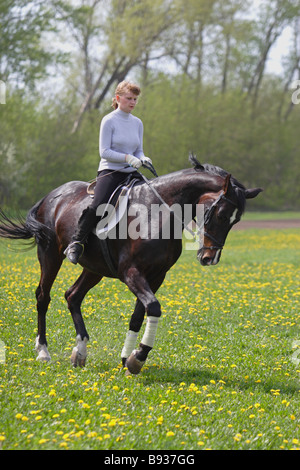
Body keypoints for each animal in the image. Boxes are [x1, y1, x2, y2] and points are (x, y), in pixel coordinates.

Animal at [0, 158, 262, 374]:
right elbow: (153, 308)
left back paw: (80, 351)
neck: (156, 214)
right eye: (220, 214)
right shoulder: (131, 273)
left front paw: (128, 358)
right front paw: (138, 358)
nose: (209, 258)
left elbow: (138, 316)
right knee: (43, 296)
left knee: (72, 296)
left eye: (236, 220)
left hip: (94, 269)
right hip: (50, 255)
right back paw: (43, 351)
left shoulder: (156, 276)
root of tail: (51, 196)